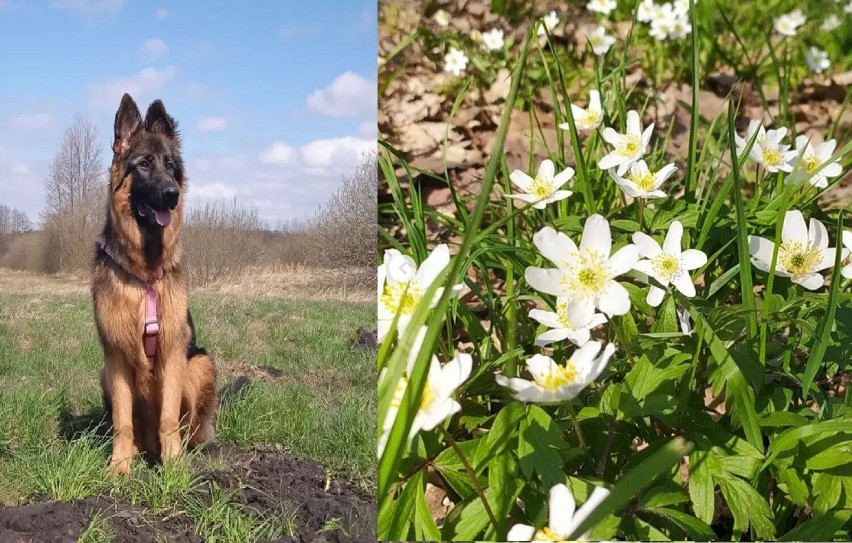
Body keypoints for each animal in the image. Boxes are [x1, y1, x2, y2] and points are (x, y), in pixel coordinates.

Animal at [92, 94, 218, 476]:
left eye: (170, 165)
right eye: (144, 164)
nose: (171, 194)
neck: (144, 271)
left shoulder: (172, 351)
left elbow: (169, 419)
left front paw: (173, 464)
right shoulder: (116, 355)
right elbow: (122, 420)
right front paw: (119, 465)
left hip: (200, 362)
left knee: (193, 427)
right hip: (104, 374)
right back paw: (136, 451)